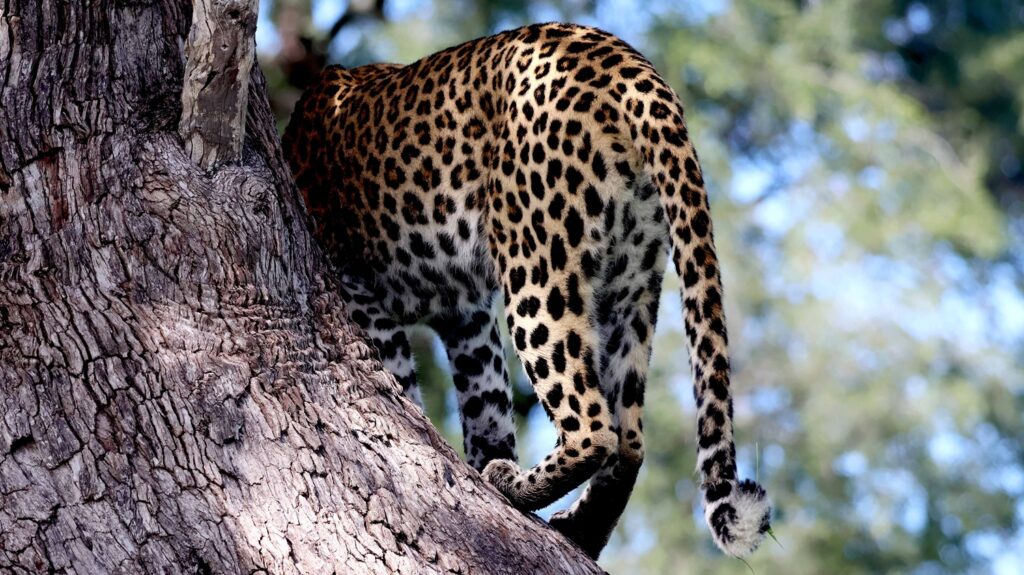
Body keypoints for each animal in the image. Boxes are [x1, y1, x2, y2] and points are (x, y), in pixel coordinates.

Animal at [282, 22, 771, 559]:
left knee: (591, 427)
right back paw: (578, 527)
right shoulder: (467, 315)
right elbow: (487, 404)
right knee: (629, 438)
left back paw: (512, 486)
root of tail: (629, 65)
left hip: (535, 269)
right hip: (629, 283)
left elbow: (406, 387)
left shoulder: (358, 289)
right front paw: (477, 458)